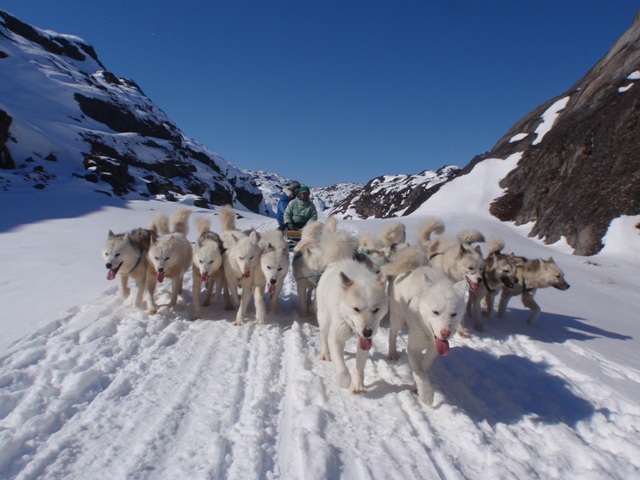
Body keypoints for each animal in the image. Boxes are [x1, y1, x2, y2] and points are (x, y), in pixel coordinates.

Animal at [318, 258, 388, 394]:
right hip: (324, 320)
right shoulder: (335, 338)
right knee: (323, 335)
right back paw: (325, 353)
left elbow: (359, 367)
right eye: (356, 309)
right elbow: (342, 369)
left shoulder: (364, 343)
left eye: (375, 310)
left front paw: (357, 384)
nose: (367, 332)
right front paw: (345, 381)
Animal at [380, 248, 464, 404]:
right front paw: (426, 394)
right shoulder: (413, 346)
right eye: (435, 312)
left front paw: (416, 387)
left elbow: (423, 368)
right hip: (398, 318)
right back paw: (392, 352)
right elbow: (419, 372)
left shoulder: (433, 349)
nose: (445, 333)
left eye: (453, 314)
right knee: (392, 334)